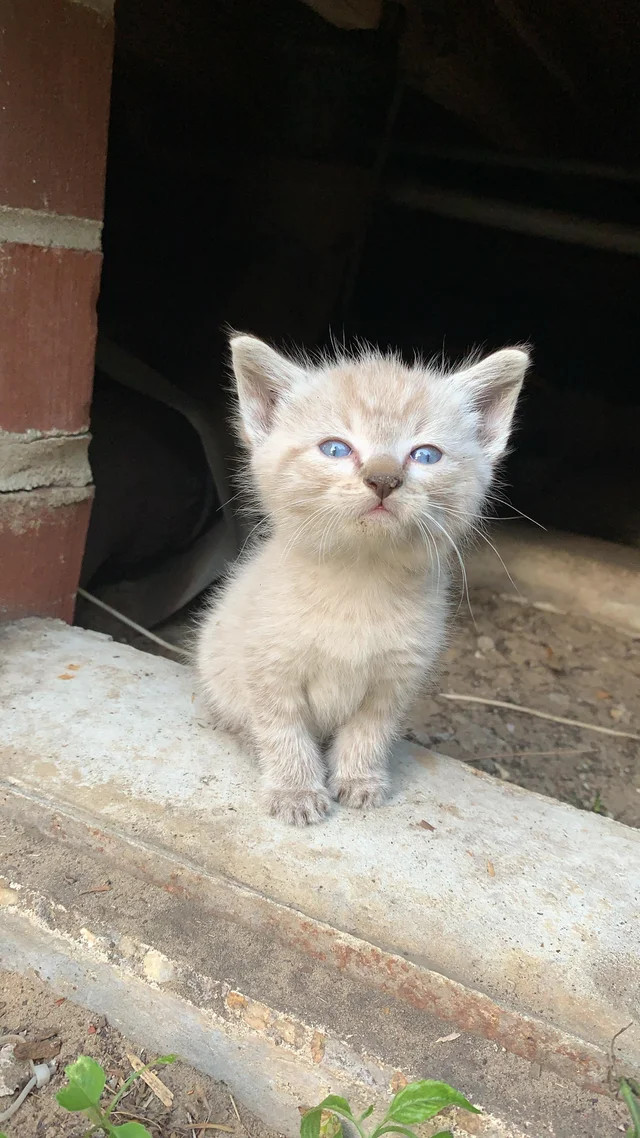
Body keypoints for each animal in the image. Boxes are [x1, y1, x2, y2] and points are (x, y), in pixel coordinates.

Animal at [195, 332, 528, 823]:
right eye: (336, 449)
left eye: (425, 455)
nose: (384, 479)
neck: (359, 576)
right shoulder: (268, 670)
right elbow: (283, 732)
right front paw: (295, 791)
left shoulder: (396, 680)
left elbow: (369, 733)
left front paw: (360, 781)